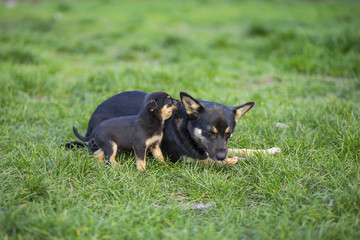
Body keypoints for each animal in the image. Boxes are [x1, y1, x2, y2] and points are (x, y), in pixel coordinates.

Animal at [66, 90, 282, 165]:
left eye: (229, 134)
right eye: (208, 132)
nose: (222, 155)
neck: (186, 129)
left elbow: (243, 149)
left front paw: (268, 151)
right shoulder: (187, 160)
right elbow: (217, 161)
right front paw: (240, 161)